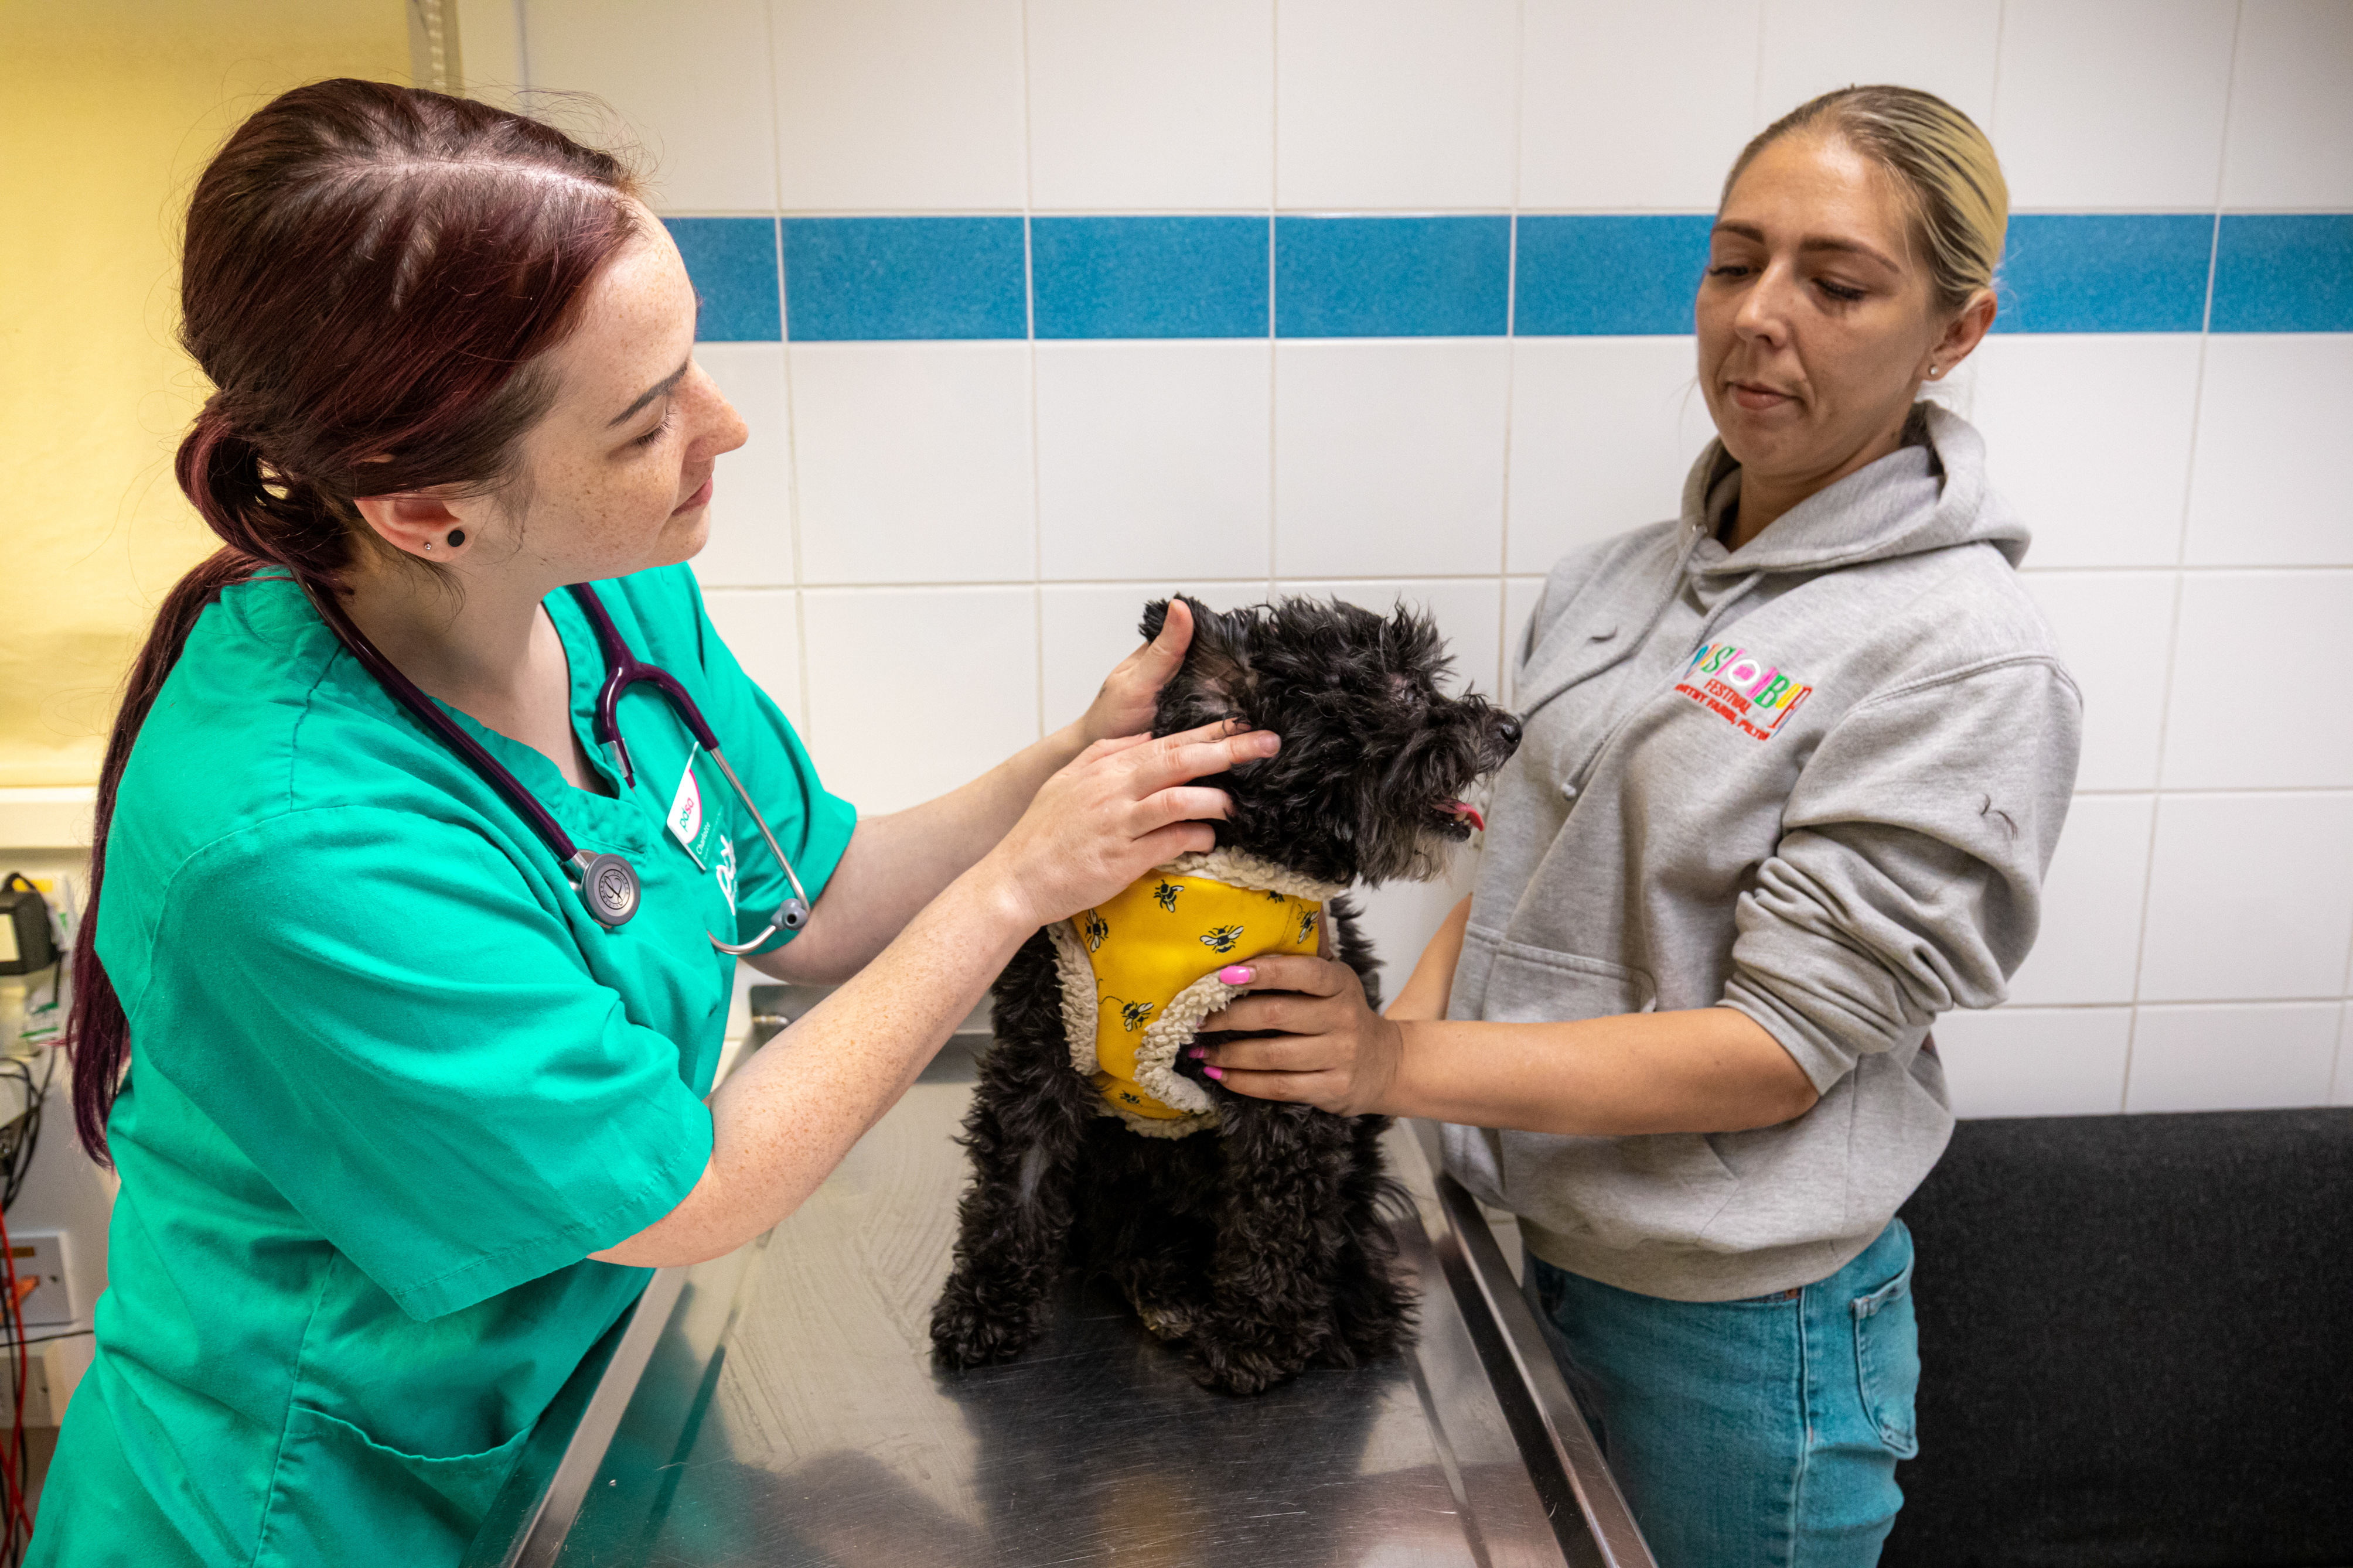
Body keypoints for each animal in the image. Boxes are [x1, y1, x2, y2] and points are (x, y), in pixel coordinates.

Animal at [936, 595, 1525, 1391]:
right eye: (1404, 689)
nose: (1513, 728)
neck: (1215, 859)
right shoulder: (1038, 1056)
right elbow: (1014, 1188)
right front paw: (983, 1307)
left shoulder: (1289, 1074)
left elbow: (1279, 1220)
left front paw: (1258, 1341)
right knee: (1125, 1235)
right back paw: (1164, 1284)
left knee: (1346, 1223)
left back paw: (1350, 1305)